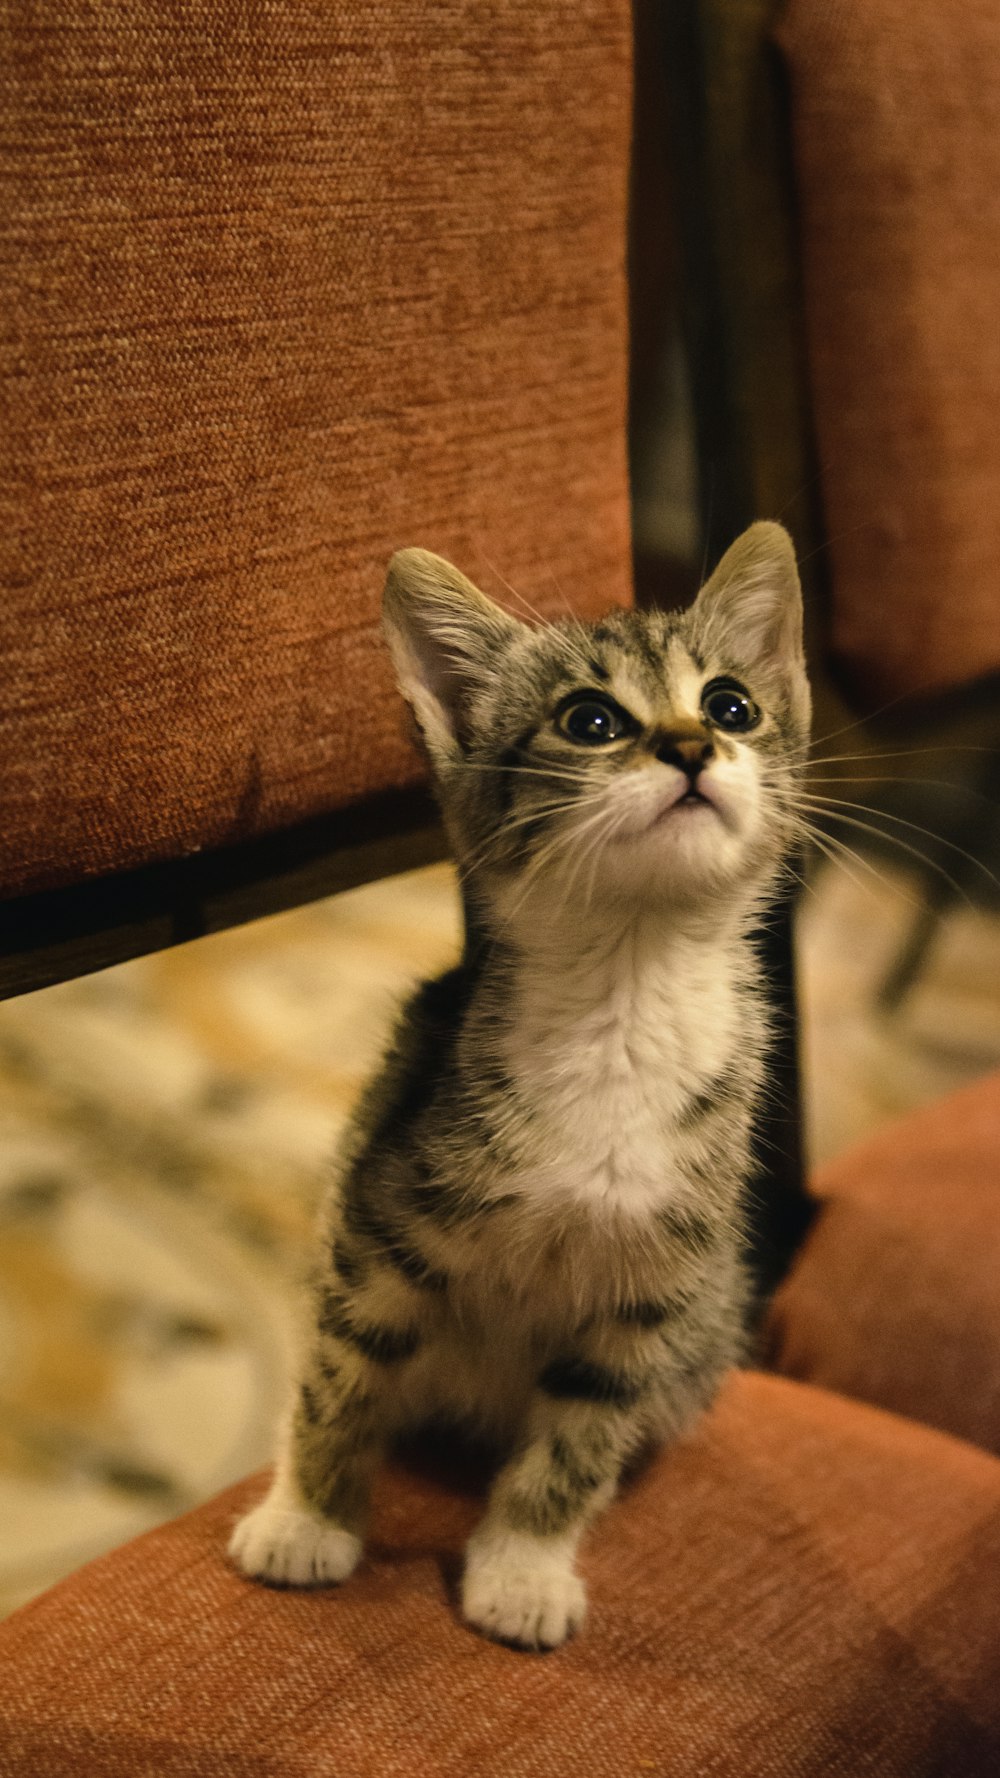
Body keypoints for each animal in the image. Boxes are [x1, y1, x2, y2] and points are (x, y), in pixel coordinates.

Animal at [227, 519, 811, 1642]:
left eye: (730, 705)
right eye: (590, 720)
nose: (690, 745)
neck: (626, 996)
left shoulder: (652, 1293)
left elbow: (578, 1439)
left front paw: (524, 1567)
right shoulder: (379, 1229)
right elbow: (340, 1377)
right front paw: (309, 1514)